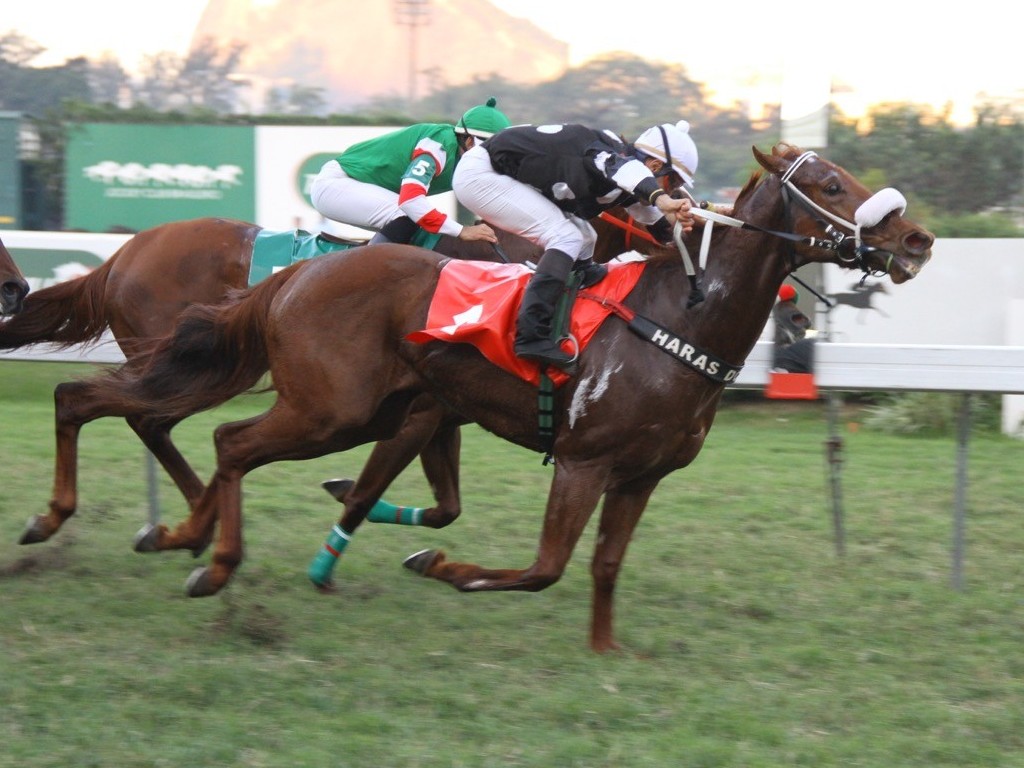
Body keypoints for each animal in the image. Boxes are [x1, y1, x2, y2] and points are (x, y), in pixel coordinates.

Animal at [88, 143, 933, 651]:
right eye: (830, 185)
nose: (917, 240)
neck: (677, 316)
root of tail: (299, 272)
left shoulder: (640, 475)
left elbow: (602, 566)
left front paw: (605, 649)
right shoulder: (583, 461)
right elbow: (543, 567)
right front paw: (440, 566)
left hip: (366, 409)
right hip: (331, 410)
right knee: (227, 443)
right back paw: (211, 564)